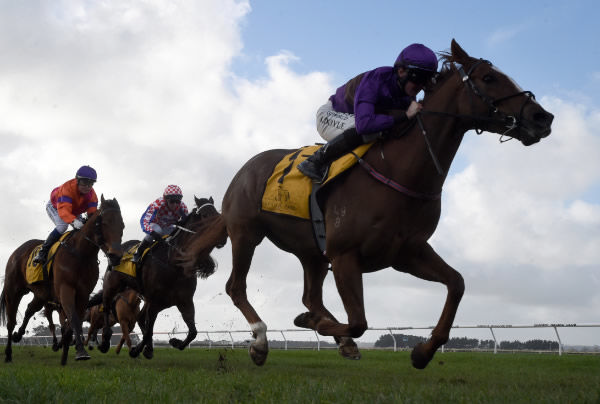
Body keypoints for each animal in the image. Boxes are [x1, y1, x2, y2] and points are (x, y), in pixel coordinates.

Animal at [0, 196, 124, 366]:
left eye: (122, 225)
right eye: (104, 223)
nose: (116, 256)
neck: (81, 254)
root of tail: (18, 251)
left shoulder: (83, 294)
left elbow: (72, 321)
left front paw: (66, 350)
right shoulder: (66, 289)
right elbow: (73, 319)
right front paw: (79, 351)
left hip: (41, 294)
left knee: (30, 309)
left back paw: (19, 335)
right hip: (13, 290)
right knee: (11, 322)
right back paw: (8, 353)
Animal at [95, 197, 229, 358]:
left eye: (218, 214)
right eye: (204, 215)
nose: (223, 236)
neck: (174, 263)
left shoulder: (184, 301)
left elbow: (193, 332)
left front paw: (175, 342)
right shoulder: (155, 301)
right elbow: (149, 330)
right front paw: (136, 349)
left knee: (140, 318)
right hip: (111, 285)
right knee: (107, 306)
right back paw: (105, 341)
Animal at [185, 40, 556, 370]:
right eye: (489, 78)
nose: (544, 117)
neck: (400, 172)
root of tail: (244, 170)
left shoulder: (406, 253)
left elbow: (457, 283)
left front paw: (423, 353)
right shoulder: (346, 255)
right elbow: (359, 321)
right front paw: (317, 326)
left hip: (312, 252)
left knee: (311, 296)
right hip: (246, 232)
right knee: (237, 287)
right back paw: (262, 342)